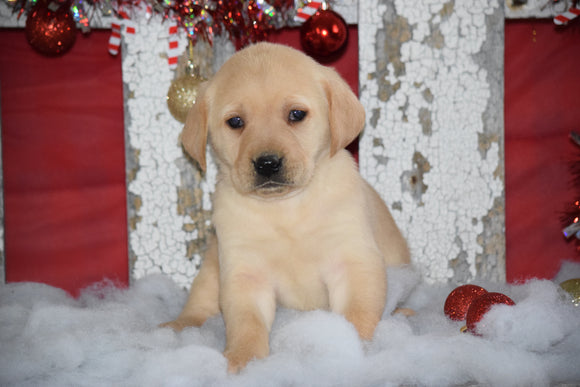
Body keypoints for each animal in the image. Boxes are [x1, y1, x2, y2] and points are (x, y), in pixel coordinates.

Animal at [161, 41, 410, 372]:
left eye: (296, 114)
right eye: (235, 122)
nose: (267, 164)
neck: (285, 209)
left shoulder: (353, 261)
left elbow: (357, 314)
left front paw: (354, 347)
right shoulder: (245, 273)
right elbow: (246, 324)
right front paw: (243, 358)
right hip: (212, 266)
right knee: (199, 303)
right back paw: (178, 325)